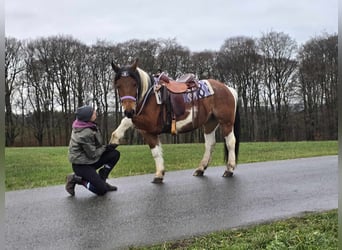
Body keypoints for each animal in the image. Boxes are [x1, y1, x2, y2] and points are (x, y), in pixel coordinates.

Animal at [109, 58, 240, 184]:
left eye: (134, 84)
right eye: (118, 85)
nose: (129, 111)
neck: (150, 97)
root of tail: (228, 88)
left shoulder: (148, 126)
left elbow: (154, 150)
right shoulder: (144, 127)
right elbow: (154, 150)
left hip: (226, 123)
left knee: (230, 142)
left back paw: (229, 169)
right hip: (210, 123)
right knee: (210, 144)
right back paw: (201, 169)